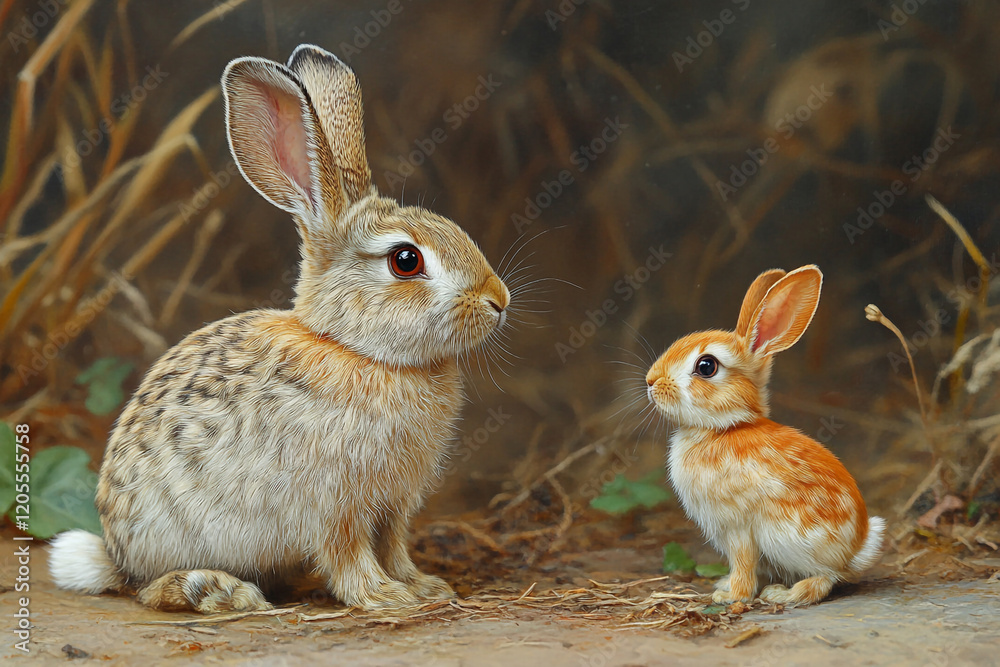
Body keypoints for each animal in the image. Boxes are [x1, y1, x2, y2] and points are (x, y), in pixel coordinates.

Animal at [48, 44, 510, 614]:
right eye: (406, 260)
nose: (498, 301)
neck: (357, 350)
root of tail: (114, 553)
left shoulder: (393, 504)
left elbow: (394, 543)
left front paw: (423, 586)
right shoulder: (335, 504)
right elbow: (349, 553)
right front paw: (384, 597)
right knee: (147, 590)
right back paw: (219, 591)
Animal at [645, 265, 884, 606]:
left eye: (706, 366)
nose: (651, 381)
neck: (725, 427)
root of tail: (857, 549)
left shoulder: (738, 527)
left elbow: (744, 562)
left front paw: (730, 596)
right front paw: (724, 586)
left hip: (785, 538)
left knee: (825, 579)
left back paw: (782, 594)